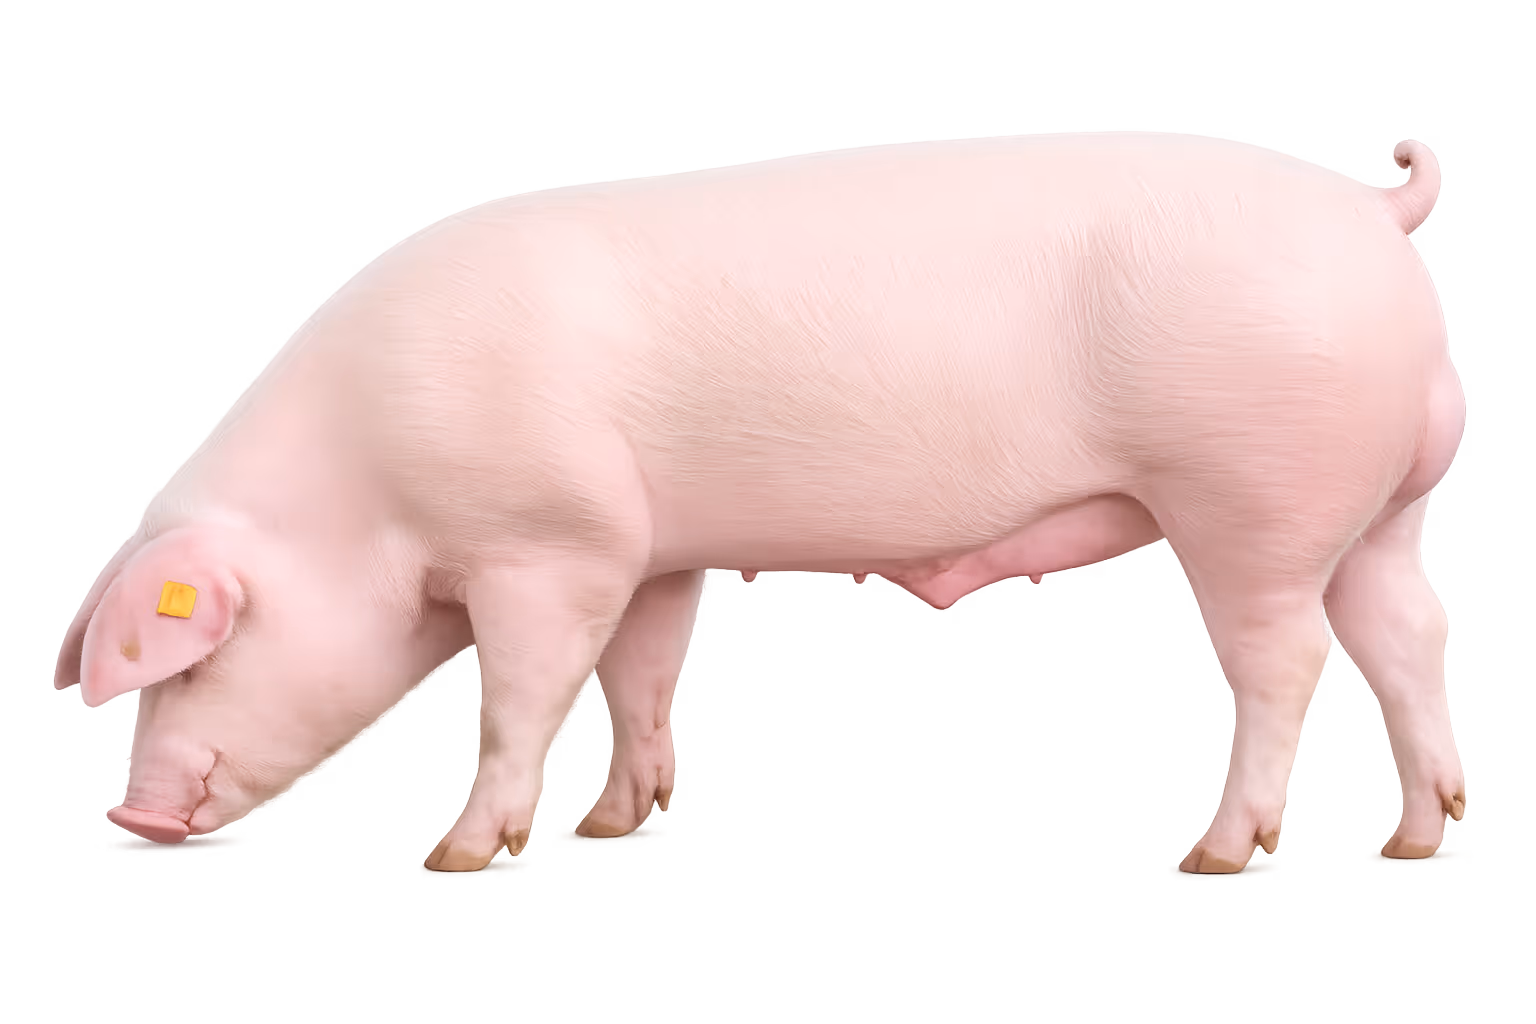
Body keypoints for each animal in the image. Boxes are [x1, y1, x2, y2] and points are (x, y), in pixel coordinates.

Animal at [54, 131, 1466, 875]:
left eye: (195, 656)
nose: (126, 810)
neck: (367, 485)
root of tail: (1375, 209)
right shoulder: (648, 553)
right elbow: (639, 678)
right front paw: (614, 824)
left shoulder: (550, 543)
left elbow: (518, 699)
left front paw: (462, 854)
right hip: (1386, 508)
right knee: (1409, 643)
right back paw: (1417, 841)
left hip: (1256, 500)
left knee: (1288, 665)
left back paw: (1218, 852)